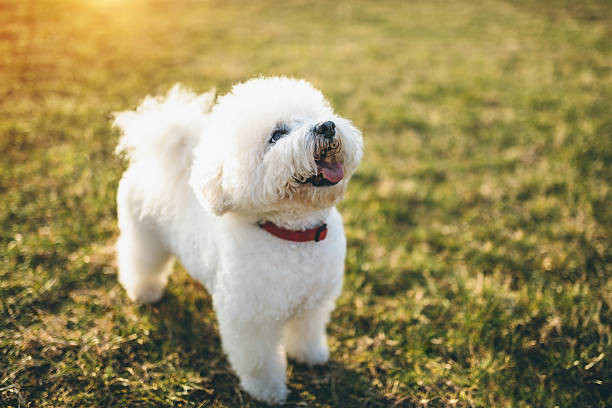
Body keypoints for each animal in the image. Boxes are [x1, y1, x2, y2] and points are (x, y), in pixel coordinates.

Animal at [114, 77, 360, 404]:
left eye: (314, 116)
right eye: (277, 135)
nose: (327, 126)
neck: (293, 235)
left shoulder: (313, 303)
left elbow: (306, 333)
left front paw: (310, 356)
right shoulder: (250, 318)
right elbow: (259, 361)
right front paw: (268, 392)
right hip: (144, 236)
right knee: (139, 261)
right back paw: (144, 292)